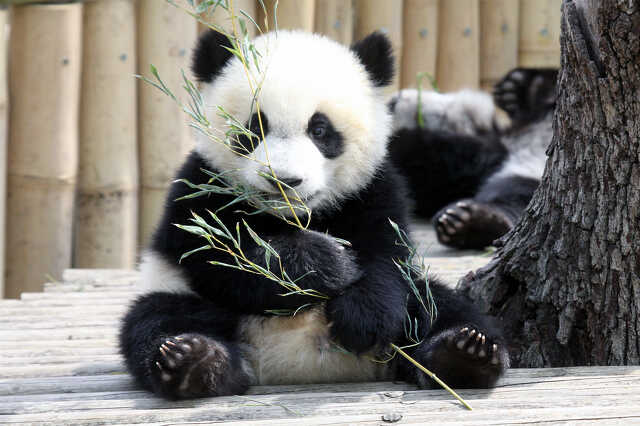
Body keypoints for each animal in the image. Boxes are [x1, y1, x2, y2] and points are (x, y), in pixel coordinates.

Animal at [119, 29, 509, 400]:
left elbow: (387, 256)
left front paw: (362, 317)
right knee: (159, 320)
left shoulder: (374, 189)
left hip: (417, 304)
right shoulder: (201, 186)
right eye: (254, 128)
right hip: (180, 292)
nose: (285, 180)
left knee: (439, 308)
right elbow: (218, 256)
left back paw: (462, 353)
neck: (292, 216)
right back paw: (195, 362)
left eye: (320, 130)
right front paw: (327, 262)